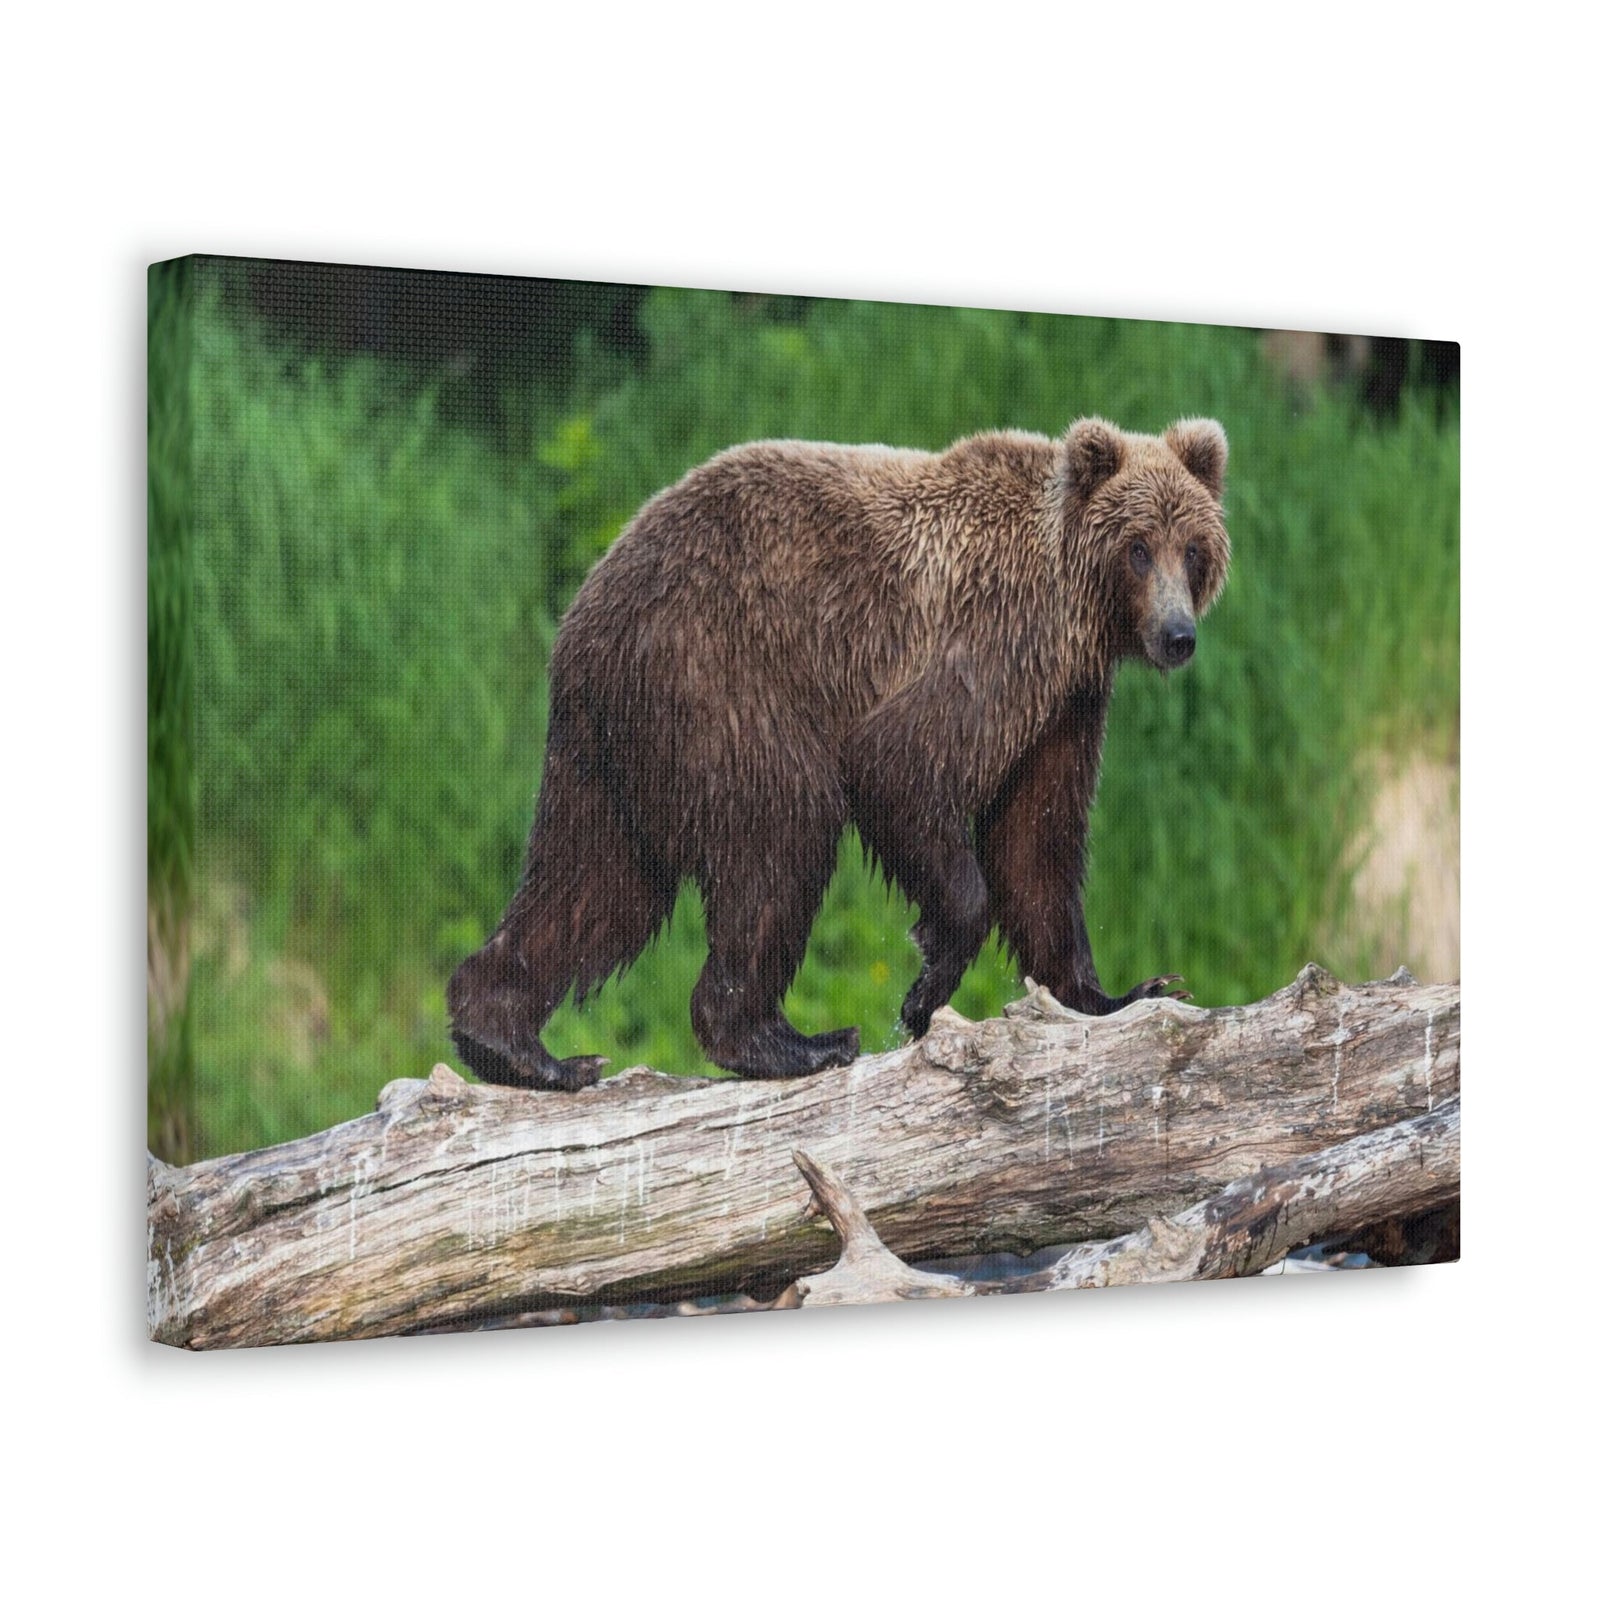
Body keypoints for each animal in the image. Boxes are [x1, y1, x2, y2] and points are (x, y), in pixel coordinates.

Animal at [447, 416, 1230, 1091]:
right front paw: (924, 990)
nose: (1178, 635)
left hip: (616, 751)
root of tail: (583, 608)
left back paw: (514, 1043)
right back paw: (793, 1041)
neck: (1076, 612)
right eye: (1138, 547)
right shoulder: (993, 642)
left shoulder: (1065, 705)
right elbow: (903, 763)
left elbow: (1036, 844)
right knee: (781, 831)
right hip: (718, 675)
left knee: (596, 882)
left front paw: (1122, 991)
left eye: (1192, 549)